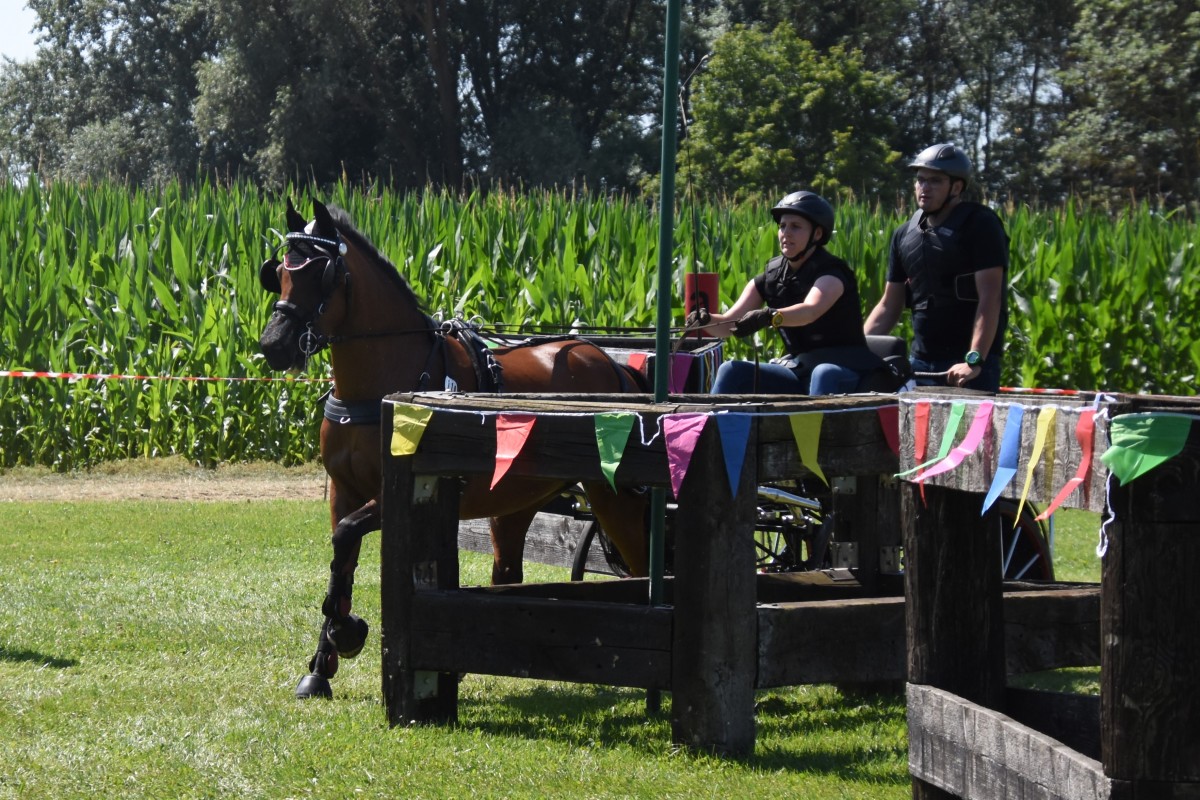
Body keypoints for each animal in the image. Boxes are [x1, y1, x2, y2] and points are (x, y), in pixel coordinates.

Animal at [258, 198, 650, 699]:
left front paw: (347, 633)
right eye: (279, 272)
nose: (273, 345)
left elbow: (345, 536)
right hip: (515, 501)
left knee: (641, 567)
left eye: (321, 273)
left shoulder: (390, 495)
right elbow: (341, 561)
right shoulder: (344, 490)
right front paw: (322, 663)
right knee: (508, 576)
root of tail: (610, 363)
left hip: (611, 496)